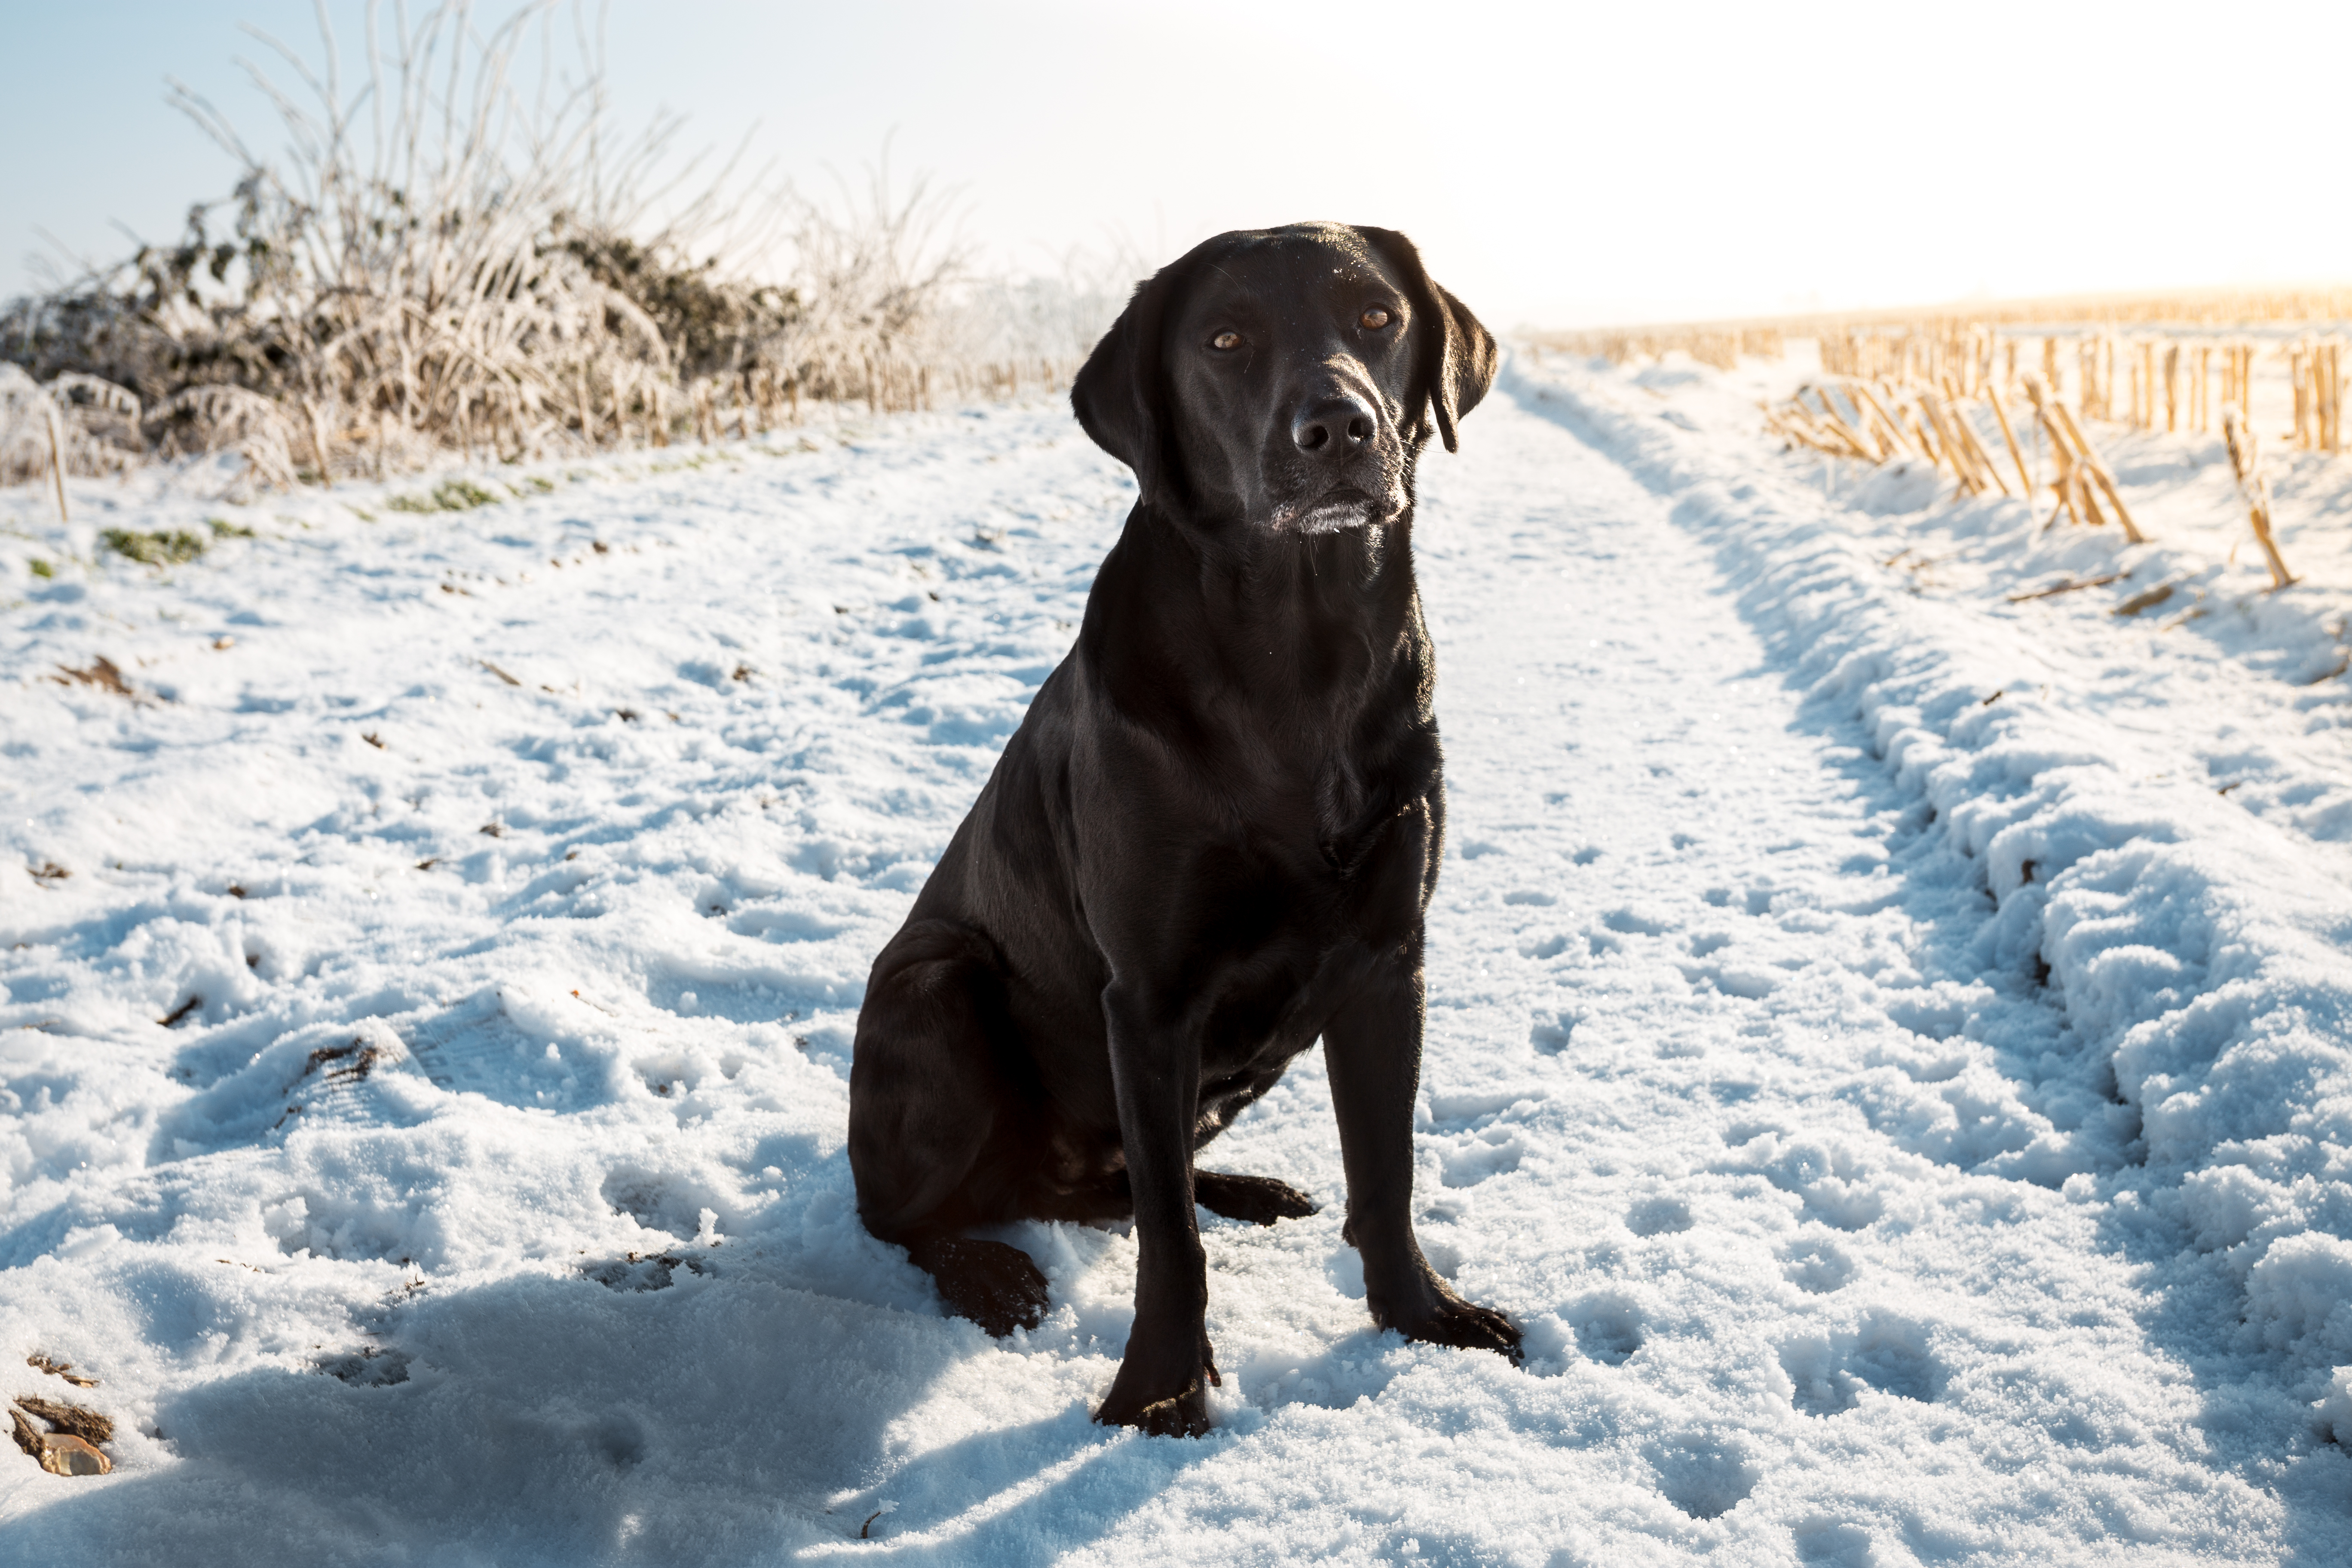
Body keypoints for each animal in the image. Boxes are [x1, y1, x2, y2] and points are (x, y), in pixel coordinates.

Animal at [856, 217, 1514, 1439]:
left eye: (1377, 316)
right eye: (1224, 340)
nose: (1338, 425)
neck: (1300, 661)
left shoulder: (1387, 964)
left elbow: (1386, 1171)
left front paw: (1420, 1316)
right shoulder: (1149, 998)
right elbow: (1169, 1240)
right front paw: (1158, 1388)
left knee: (1115, 1179)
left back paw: (1248, 1188)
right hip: (936, 984)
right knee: (900, 1217)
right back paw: (988, 1272)